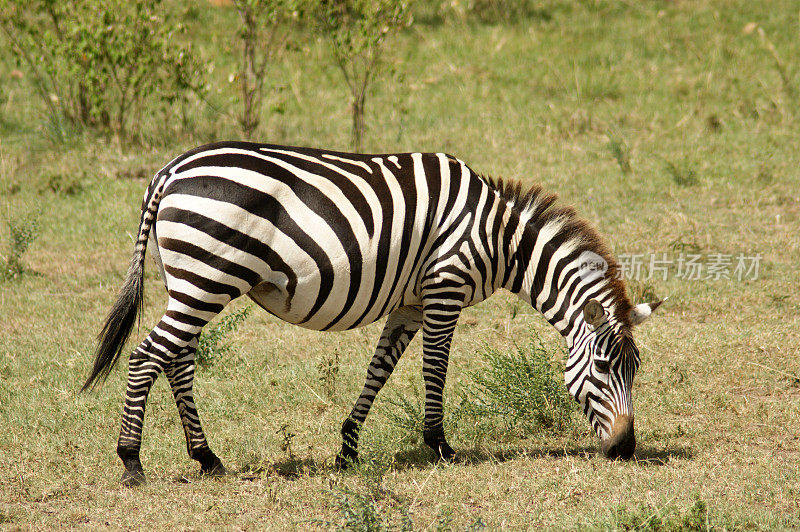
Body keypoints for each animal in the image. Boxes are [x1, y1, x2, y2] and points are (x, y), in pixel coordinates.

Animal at [83, 141, 664, 486]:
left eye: (636, 371)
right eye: (605, 368)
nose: (625, 450)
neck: (500, 239)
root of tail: (169, 171)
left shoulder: (410, 302)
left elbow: (379, 370)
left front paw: (347, 448)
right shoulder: (444, 289)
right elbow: (435, 368)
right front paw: (440, 446)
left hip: (191, 281)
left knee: (178, 359)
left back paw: (206, 458)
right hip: (206, 277)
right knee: (147, 356)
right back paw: (131, 461)